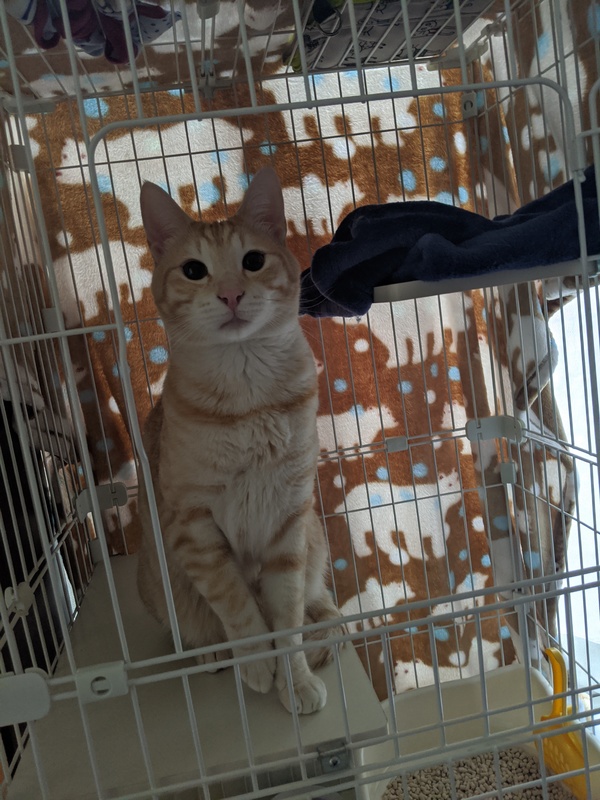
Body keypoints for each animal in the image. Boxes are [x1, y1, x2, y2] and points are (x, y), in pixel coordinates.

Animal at [136, 166, 343, 715]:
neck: (249, 400)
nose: (230, 294)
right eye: (194, 270)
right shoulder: (194, 524)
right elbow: (238, 607)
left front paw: (294, 679)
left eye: (252, 261)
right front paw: (256, 663)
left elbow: (286, 617)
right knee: (191, 626)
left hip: (314, 538)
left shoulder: (289, 519)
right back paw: (209, 653)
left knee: (320, 607)